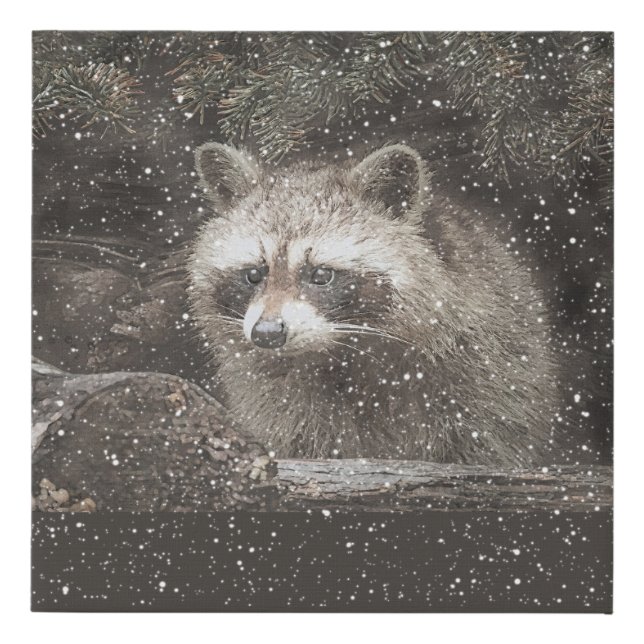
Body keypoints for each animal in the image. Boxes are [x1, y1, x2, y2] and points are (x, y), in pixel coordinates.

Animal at [188, 143, 563, 466]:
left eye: (321, 275)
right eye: (254, 274)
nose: (267, 333)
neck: (345, 350)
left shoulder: (487, 367)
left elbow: (490, 439)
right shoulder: (273, 392)